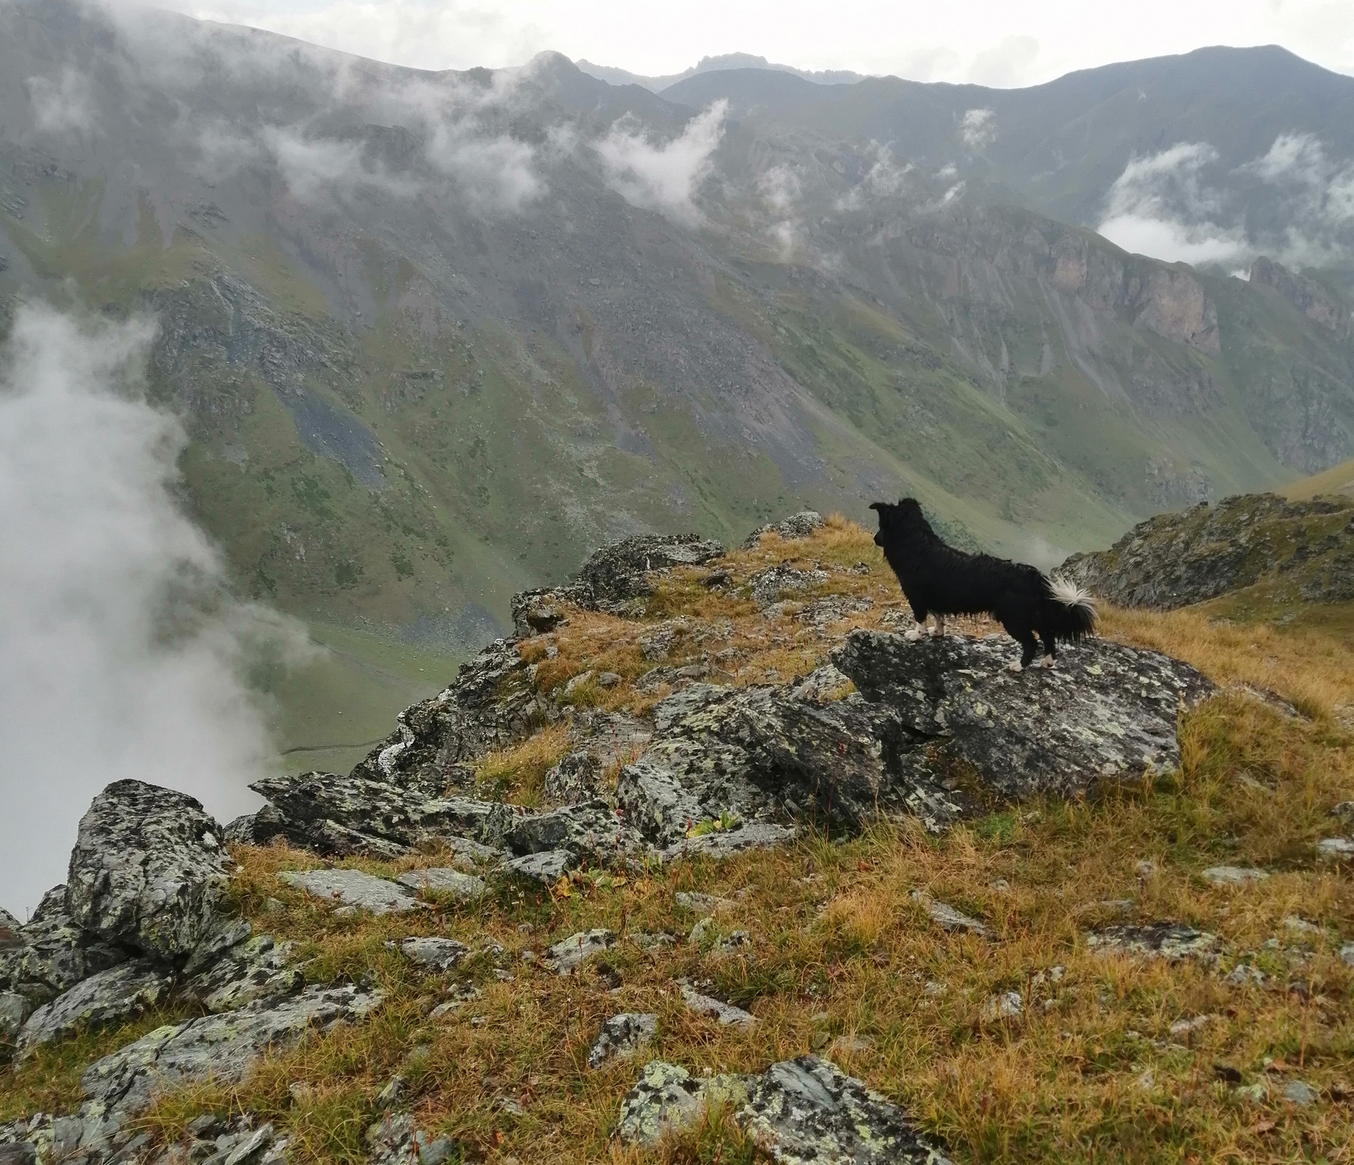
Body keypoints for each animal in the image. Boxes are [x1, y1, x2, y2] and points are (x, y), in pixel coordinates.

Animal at [871, 495, 1094, 669]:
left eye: (881, 526)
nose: (874, 539)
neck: (917, 546)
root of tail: (1034, 577)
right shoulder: (935, 599)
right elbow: (938, 616)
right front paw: (938, 632)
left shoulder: (916, 598)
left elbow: (920, 618)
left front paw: (916, 635)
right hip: (1033, 614)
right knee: (1048, 634)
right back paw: (1047, 662)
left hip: (1014, 617)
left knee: (1032, 642)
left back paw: (1018, 666)